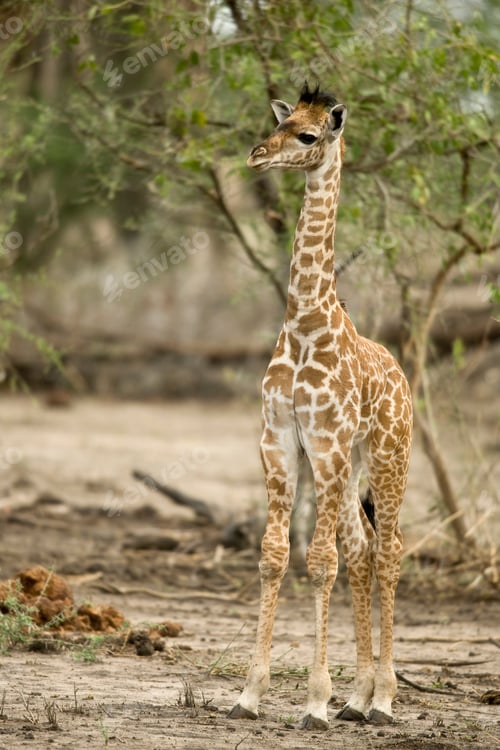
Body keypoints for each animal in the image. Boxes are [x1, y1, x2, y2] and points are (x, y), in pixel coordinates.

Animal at [228, 83, 412, 730]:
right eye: (279, 125)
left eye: (309, 136)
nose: (257, 155)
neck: (305, 322)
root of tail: (404, 379)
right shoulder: (279, 438)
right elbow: (274, 555)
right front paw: (249, 694)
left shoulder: (326, 443)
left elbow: (320, 560)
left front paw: (314, 700)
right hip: (353, 464)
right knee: (363, 548)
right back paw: (358, 697)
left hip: (387, 456)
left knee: (388, 550)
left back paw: (382, 699)